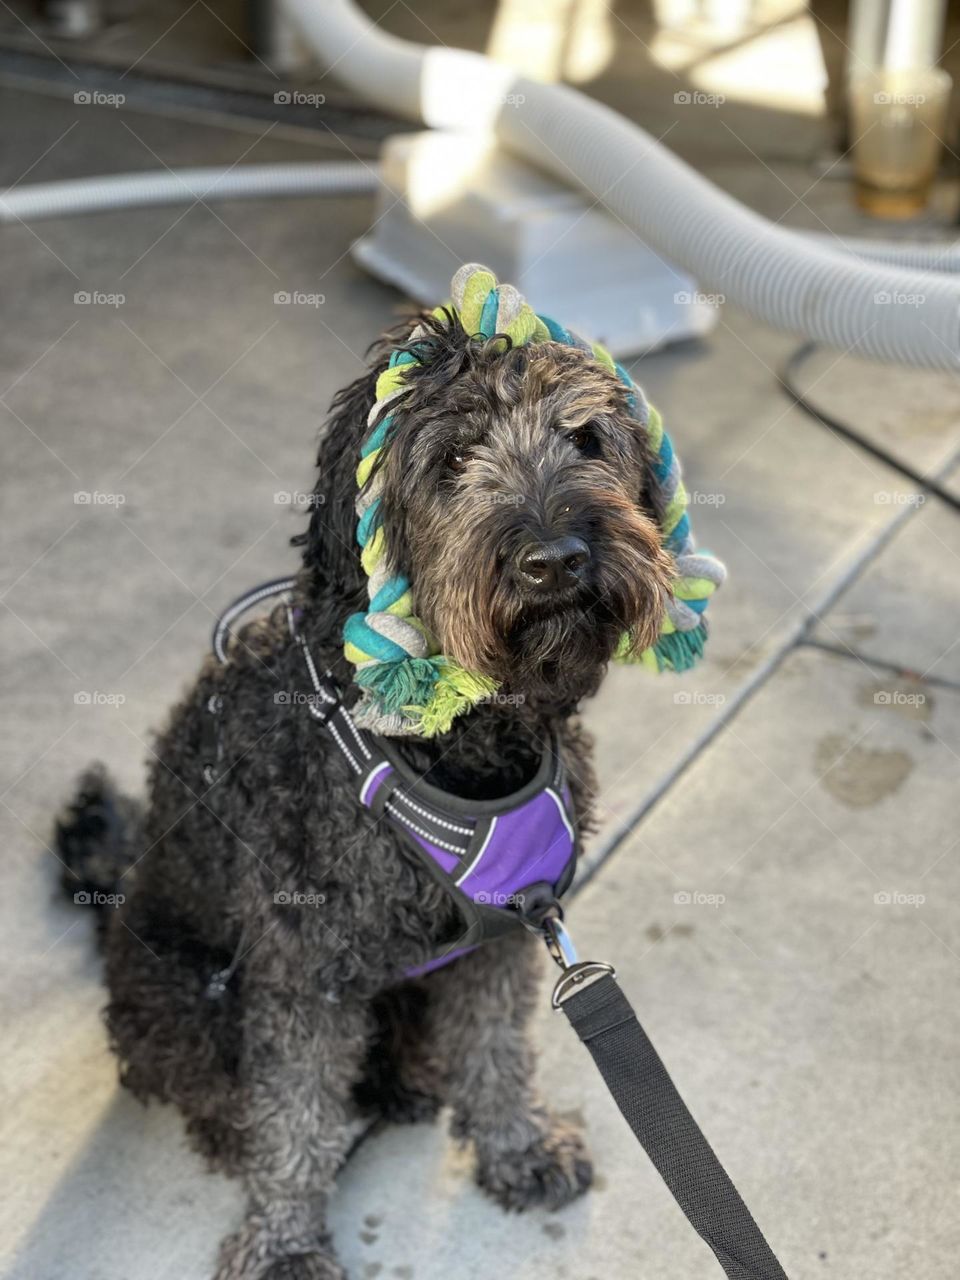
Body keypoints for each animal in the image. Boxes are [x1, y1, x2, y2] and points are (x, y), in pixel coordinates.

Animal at [56, 312, 670, 1280]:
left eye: (585, 440)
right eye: (453, 458)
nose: (557, 559)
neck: (458, 736)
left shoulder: (504, 937)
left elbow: (494, 1049)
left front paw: (517, 1146)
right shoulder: (302, 969)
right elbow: (296, 1113)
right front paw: (283, 1241)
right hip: (182, 999)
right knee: (217, 1093)